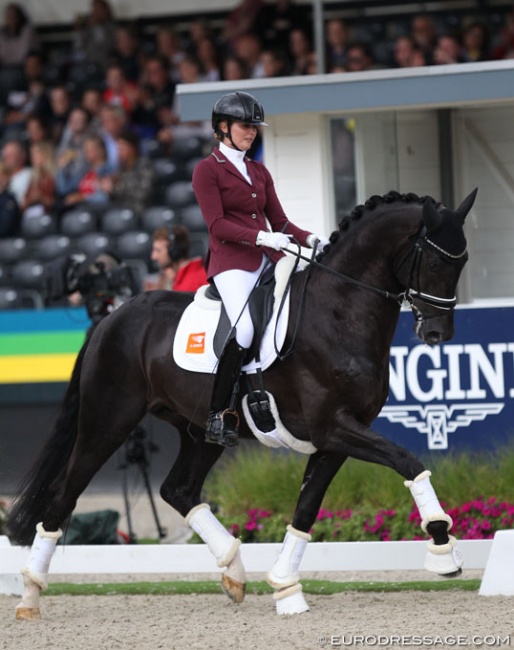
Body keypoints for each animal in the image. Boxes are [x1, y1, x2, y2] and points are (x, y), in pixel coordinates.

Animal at [7, 189, 472, 616]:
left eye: (463, 262)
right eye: (435, 263)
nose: (438, 334)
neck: (338, 312)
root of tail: (112, 317)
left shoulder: (337, 436)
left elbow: (307, 507)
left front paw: (286, 587)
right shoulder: (334, 427)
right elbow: (408, 461)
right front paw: (442, 546)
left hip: (201, 430)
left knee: (177, 489)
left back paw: (233, 570)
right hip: (107, 422)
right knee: (64, 494)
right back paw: (29, 593)